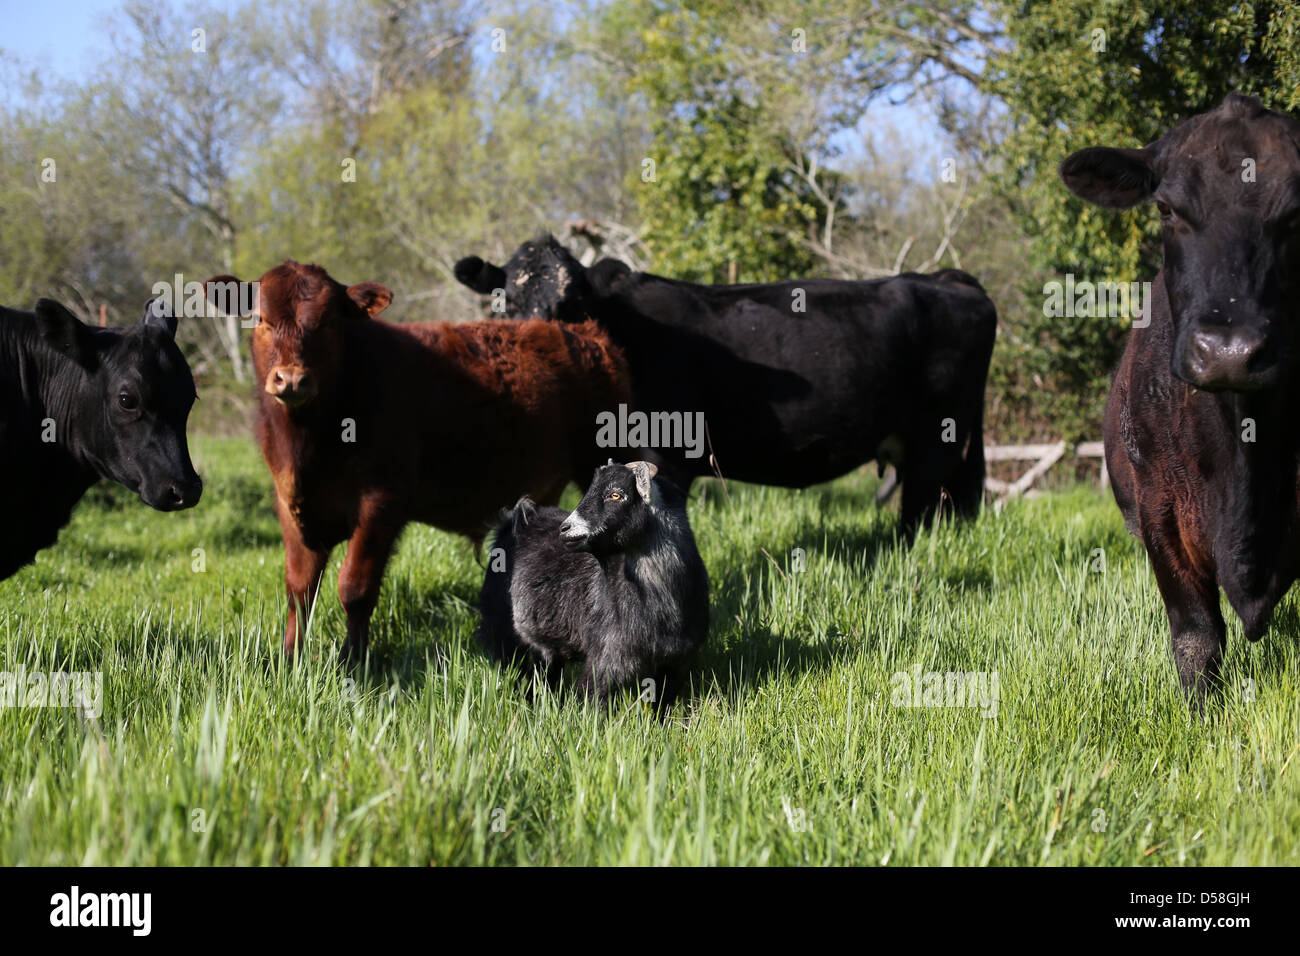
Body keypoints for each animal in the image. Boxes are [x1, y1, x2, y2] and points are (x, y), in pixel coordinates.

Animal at [209, 261, 631, 663]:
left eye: (327, 323)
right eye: (261, 320)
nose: (292, 379)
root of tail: (583, 333)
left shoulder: (381, 502)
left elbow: (355, 587)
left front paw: (353, 662)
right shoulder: (290, 503)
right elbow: (299, 588)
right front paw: (289, 658)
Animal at [454, 236, 997, 533]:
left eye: (572, 306)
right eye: (504, 303)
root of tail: (944, 278)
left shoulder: (664, 457)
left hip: (938, 438)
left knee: (921, 514)